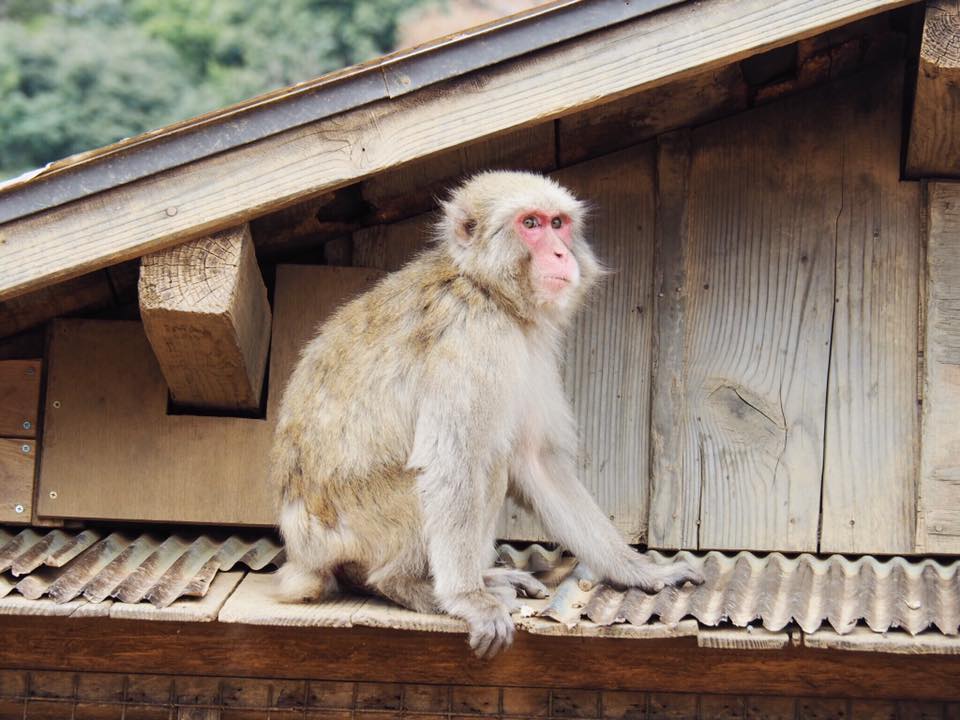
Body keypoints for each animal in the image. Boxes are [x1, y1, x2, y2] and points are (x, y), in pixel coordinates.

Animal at [270, 169, 704, 660]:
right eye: (530, 224)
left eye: (558, 223)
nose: (560, 251)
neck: (486, 289)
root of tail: (301, 549)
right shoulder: (474, 335)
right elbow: (451, 462)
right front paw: (466, 599)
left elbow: (536, 460)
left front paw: (639, 571)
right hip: (360, 525)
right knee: (479, 467)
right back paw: (412, 584)